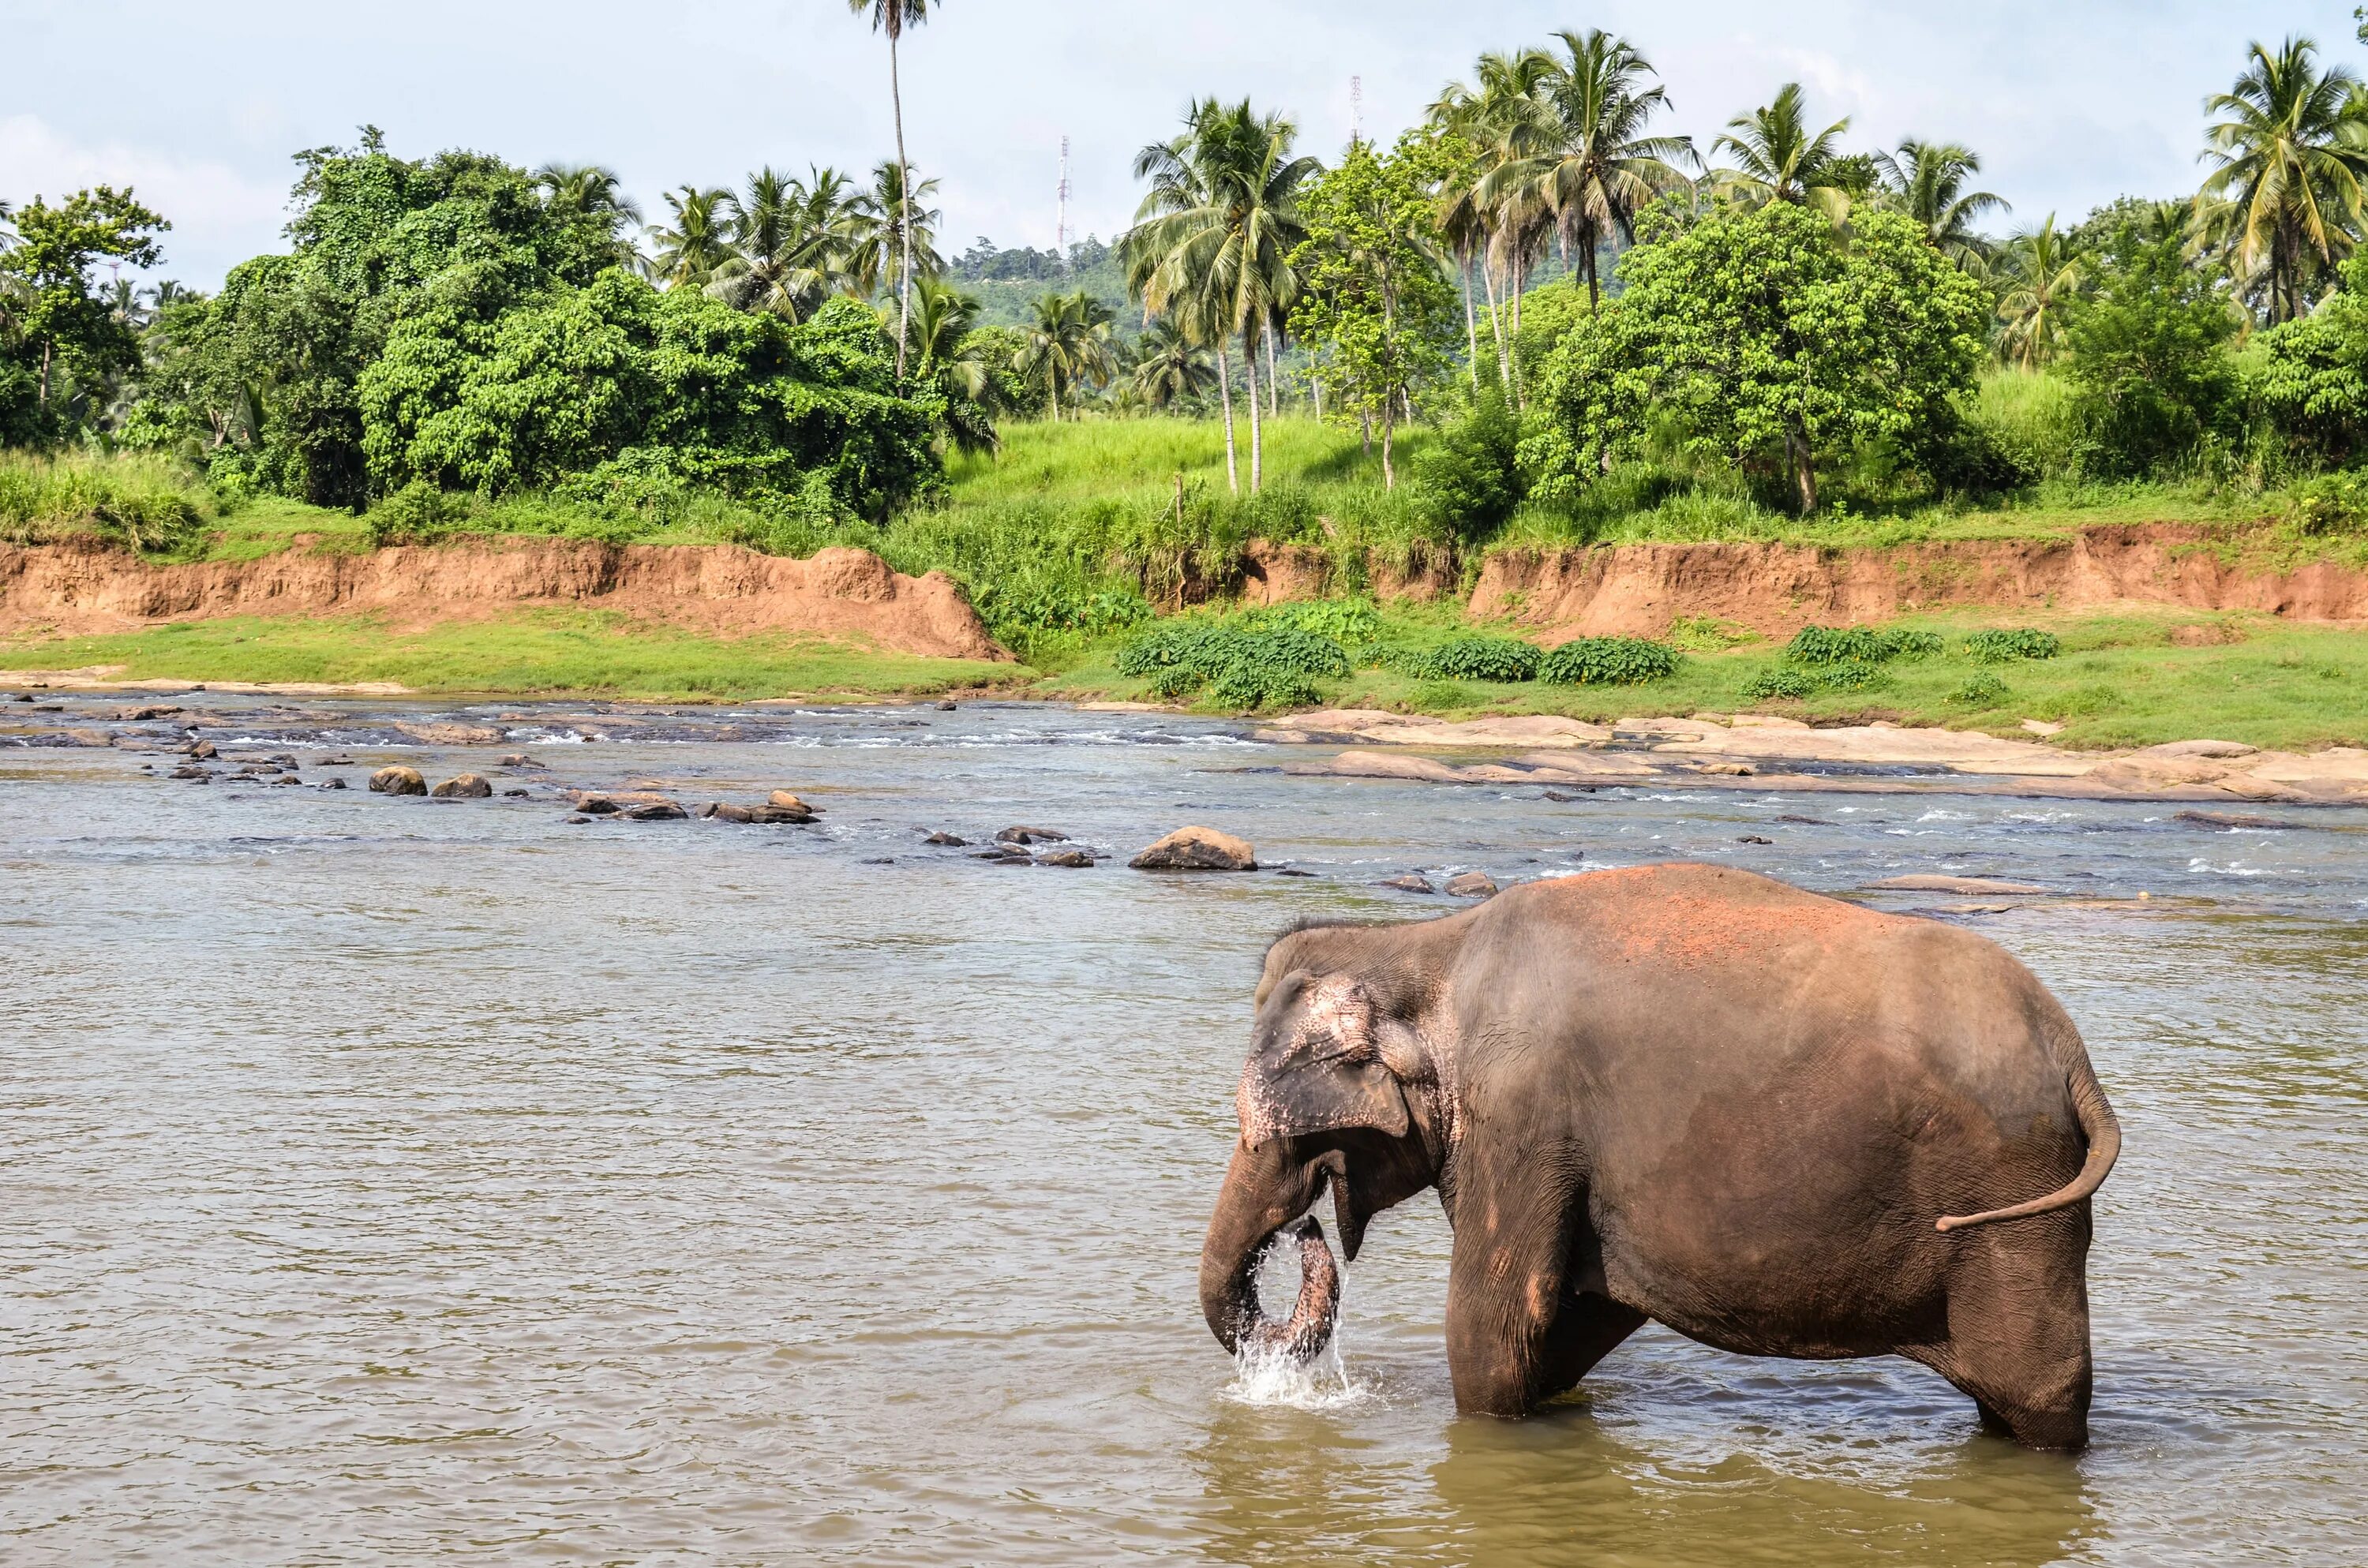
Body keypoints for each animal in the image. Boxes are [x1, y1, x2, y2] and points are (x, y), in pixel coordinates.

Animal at [1203, 866, 2131, 1458]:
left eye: (1274, 1138)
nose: (1305, 1228)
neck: (1425, 948)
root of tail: (2073, 1055)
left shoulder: (1522, 1118)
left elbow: (1494, 1325)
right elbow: (1573, 1314)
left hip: (2012, 1199)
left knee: (2043, 1391)